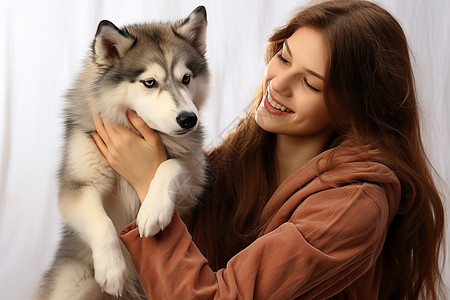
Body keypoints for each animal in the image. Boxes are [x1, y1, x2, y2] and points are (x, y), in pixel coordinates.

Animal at [34, 7, 209, 300]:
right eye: (149, 82)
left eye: (186, 78)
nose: (189, 120)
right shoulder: (79, 187)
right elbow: (101, 222)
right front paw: (112, 269)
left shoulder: (192, 182)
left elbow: (170, 166)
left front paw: (153, 210)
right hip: (71, 283)